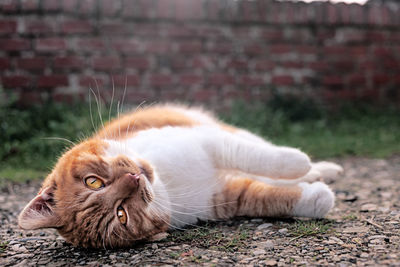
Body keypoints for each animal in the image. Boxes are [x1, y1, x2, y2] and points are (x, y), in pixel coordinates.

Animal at [18, 104, 342, 249]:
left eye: (93, 182)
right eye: (121, 215)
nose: (134, 178)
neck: (168, 183)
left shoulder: (208, 141)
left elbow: (261, 157)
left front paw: (301, 163)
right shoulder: (226, 197)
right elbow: (271, 198)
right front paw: (317, 196)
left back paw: (323, 168)